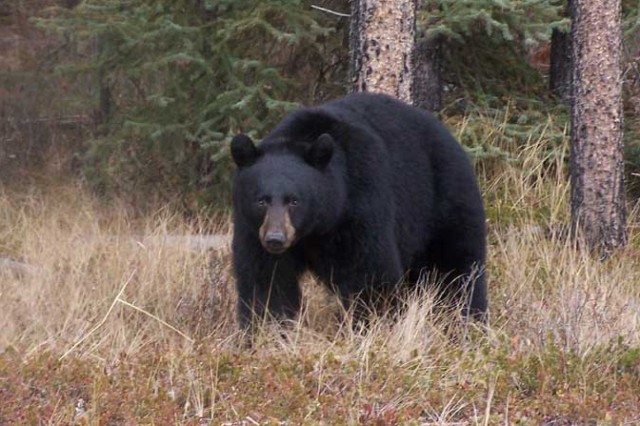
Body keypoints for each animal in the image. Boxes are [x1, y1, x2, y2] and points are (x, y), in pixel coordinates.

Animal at [230, 93, 484, 330]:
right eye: (261, 201)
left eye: (294, 200)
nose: (275, 239)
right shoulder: (252, 228)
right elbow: (266, 282)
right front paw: (267, 329)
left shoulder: (360, 202)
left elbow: (369, 275)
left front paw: (370, 325)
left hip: (443, 201)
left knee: (457, 269)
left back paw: (466, 323)